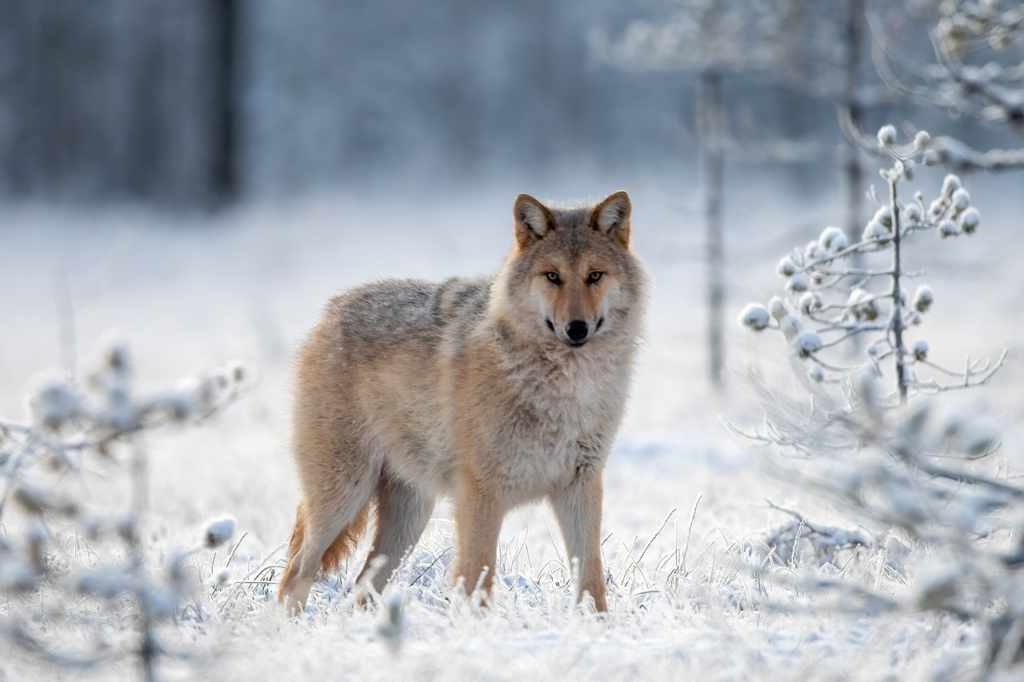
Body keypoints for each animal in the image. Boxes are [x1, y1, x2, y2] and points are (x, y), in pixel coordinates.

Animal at [280, 189, 647, 610]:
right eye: (553, 276)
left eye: (594, 276)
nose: (576, 329)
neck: (564, 389)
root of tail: (329, 313)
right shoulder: (481, 494)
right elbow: (477, 582)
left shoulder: (581, 484)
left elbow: (592, 580)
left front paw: (596, 624)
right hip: (345, 497)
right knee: (295, 573)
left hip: (408, 519)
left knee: (362, 585)